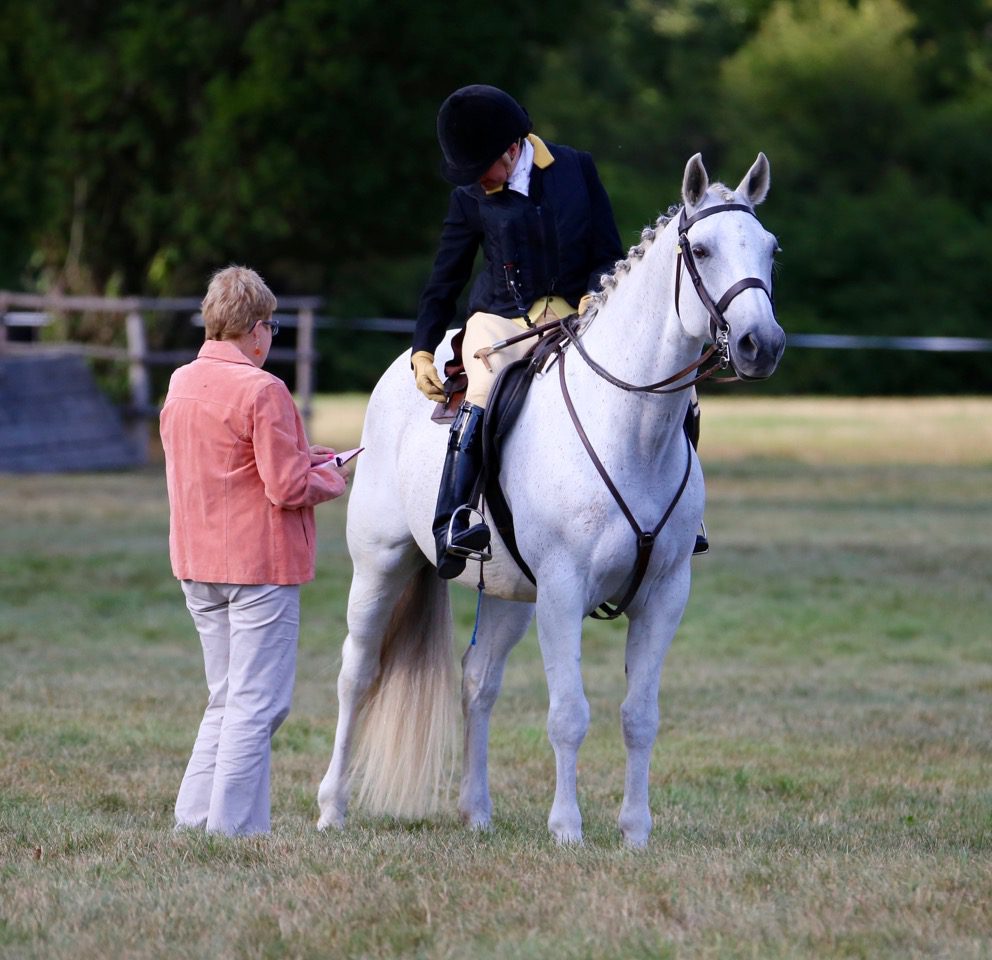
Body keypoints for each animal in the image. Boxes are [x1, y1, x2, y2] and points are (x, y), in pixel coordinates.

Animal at [318, 154, 784, 844]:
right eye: (700, 249)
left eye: (770, 249)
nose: (762, 344)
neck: (630, 426)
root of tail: (406, 366)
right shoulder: (564, 591)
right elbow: (569, 713)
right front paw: (567, 829)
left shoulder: (664, 596)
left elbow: (639, 716)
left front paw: (635, 832)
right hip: (380, 564)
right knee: (357, 674)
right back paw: (332, 808)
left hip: (511, 592)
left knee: (477, 682)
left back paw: (477, 812)